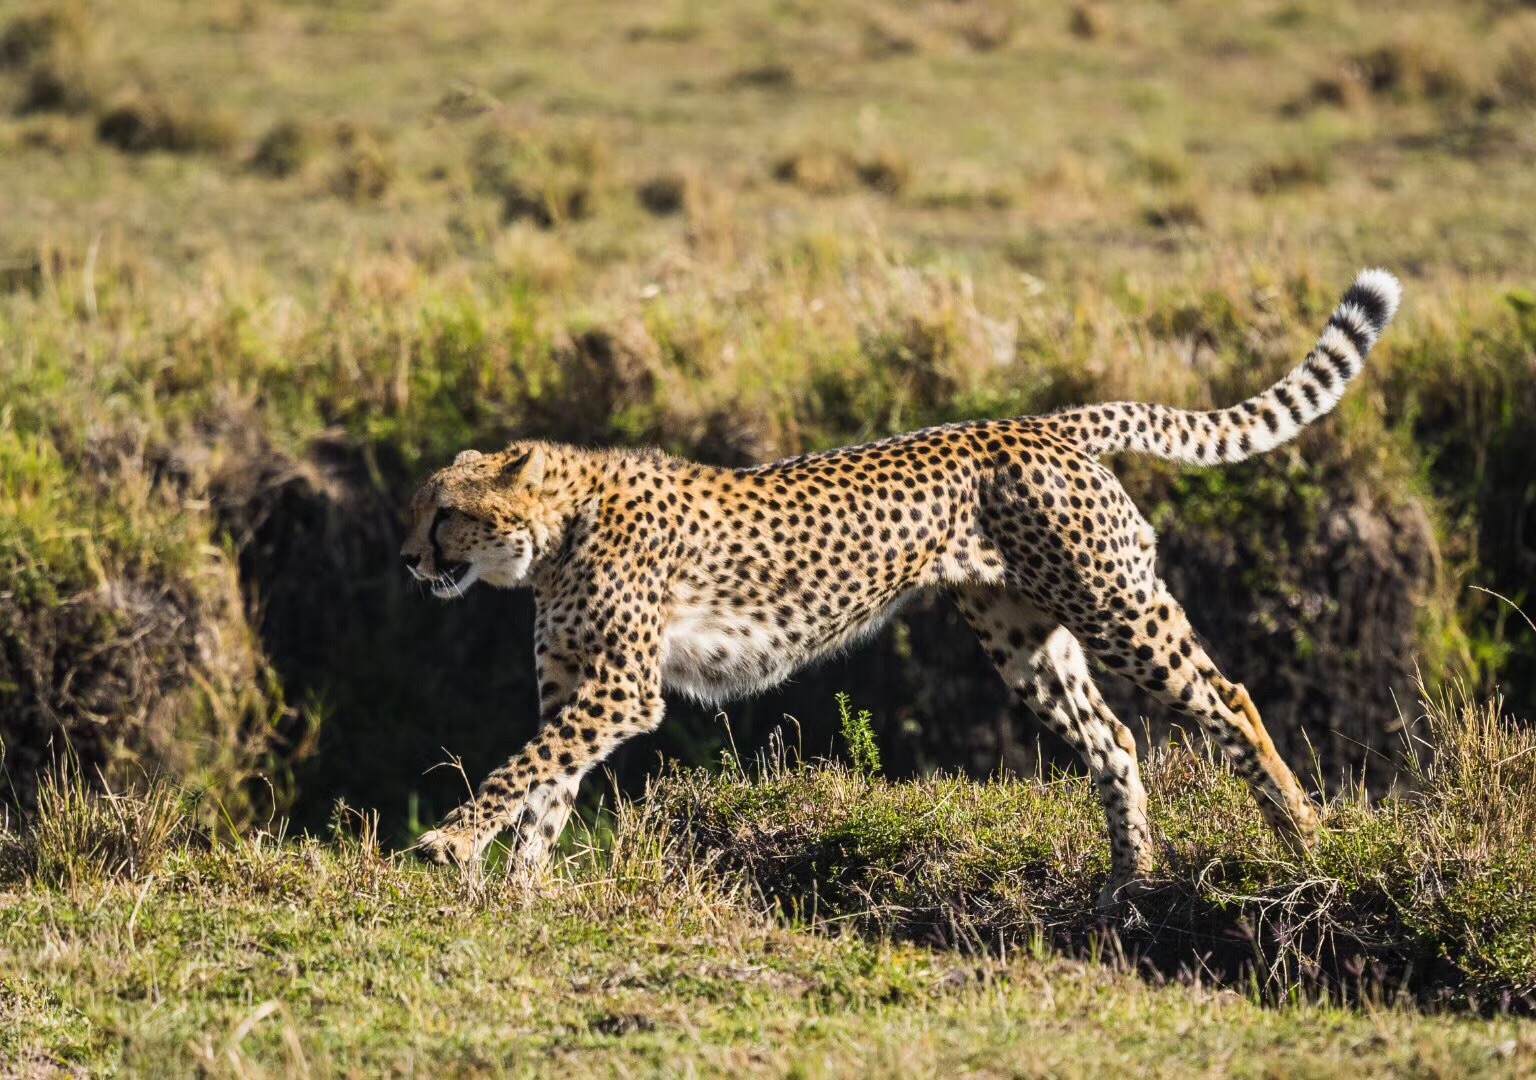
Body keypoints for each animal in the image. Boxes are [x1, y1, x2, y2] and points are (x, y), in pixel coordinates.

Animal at [405, 268, 1406, 903]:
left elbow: (523, 768)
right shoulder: (576, 687)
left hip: (1116, 605)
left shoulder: (621, 689)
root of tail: (1040, 421)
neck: (557, 533)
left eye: (444, 513)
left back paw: (1304, 838)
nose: (410, 561)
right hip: (1024, 639)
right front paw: (521, 895)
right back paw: (1133, 882)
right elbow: (547, 784)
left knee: (1228, 698)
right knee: (1115, 738)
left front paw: (450, 846)